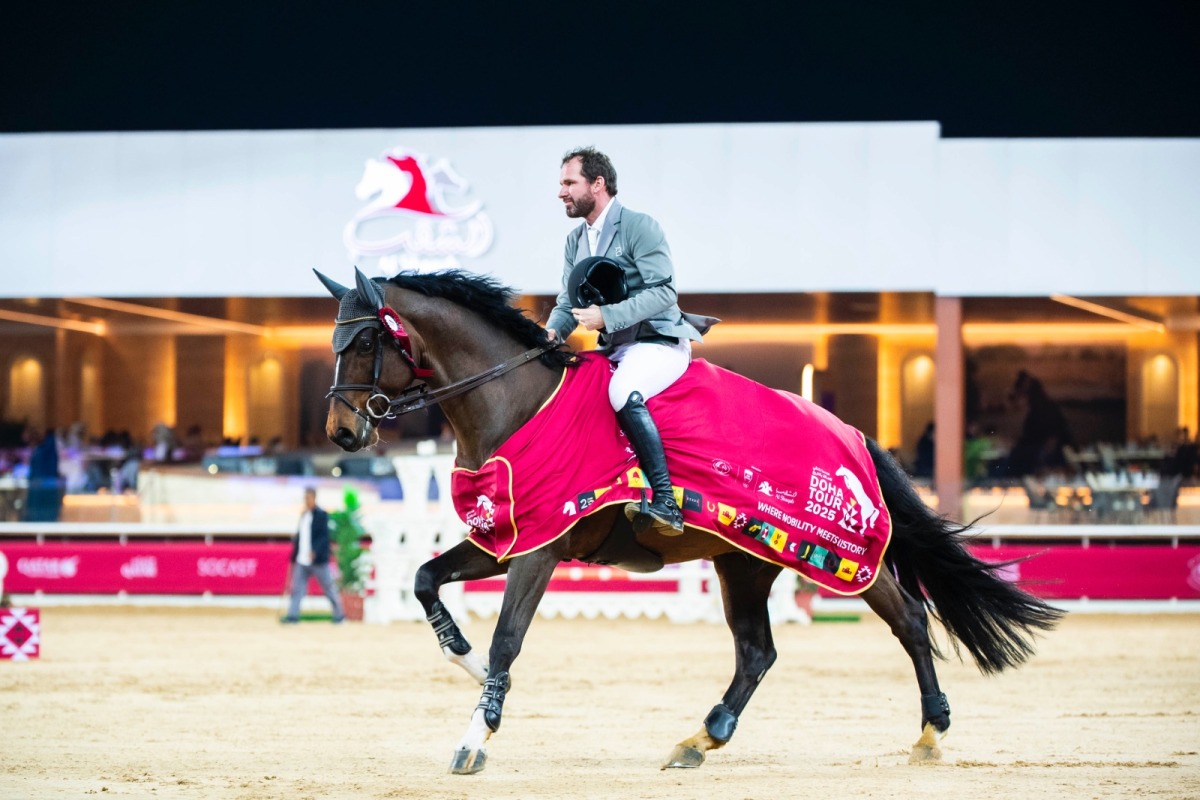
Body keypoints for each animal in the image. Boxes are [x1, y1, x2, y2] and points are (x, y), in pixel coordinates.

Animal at [316, 266, 1063, 775]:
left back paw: (932, 731)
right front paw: (468, 668)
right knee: (757, 650)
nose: (342, 433)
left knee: (907, 619)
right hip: (746, 561)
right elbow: (424, 579)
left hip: (842, 556)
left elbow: (508, 639)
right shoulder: (503, 537)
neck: (517, 401)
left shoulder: (540, 548)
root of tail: (850, 433)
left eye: (364, 343)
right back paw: (703, 735)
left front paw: (476, 735)